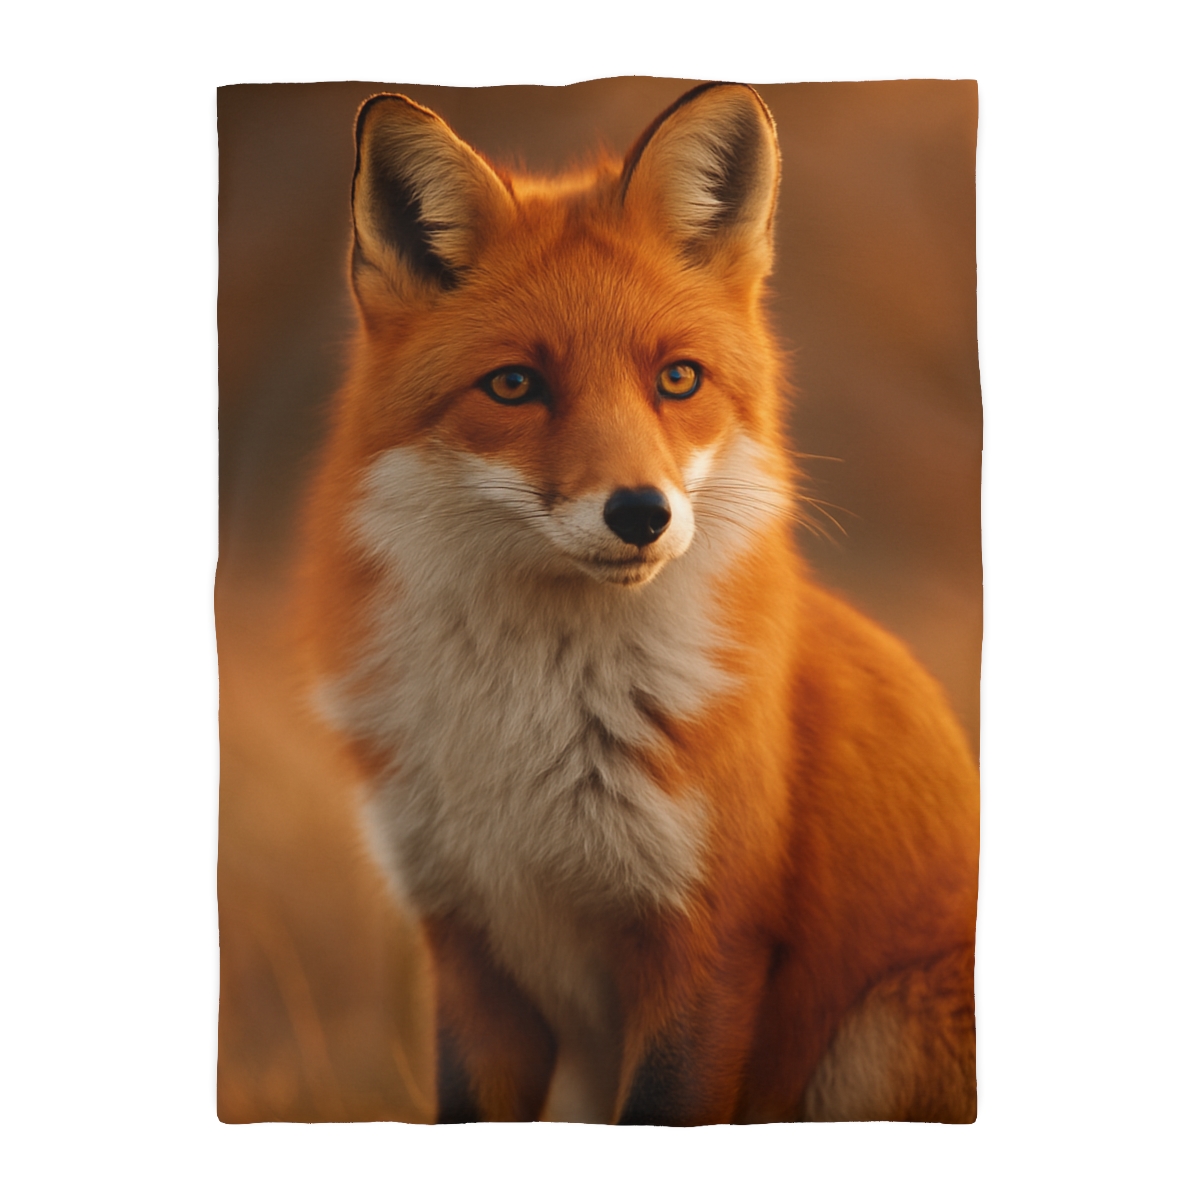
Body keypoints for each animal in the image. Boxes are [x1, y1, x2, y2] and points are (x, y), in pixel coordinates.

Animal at [296, 82, 980, 1124]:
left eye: (678, 379)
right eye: (514, 385)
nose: (641, 514)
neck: (531, 725)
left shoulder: (707, 942)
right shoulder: (468, 953)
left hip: (880, 1035)